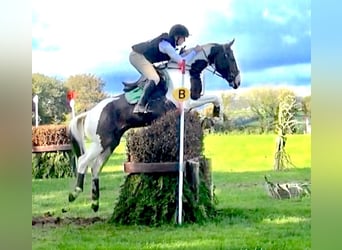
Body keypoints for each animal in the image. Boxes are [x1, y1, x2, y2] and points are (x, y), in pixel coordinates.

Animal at [67, 39, 240, 211]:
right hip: (101, 142)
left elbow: (213, 101)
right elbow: (216, 97)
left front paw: (211, 119)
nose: (237, 82)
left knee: (96, 167)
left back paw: (95, 203)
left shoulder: (188, 106)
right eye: (230, 58)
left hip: (110, 143)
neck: (187, 71)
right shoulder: (188, 103)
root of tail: (89, 113)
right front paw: (216, 117)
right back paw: (74, 194)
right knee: (83, 161)